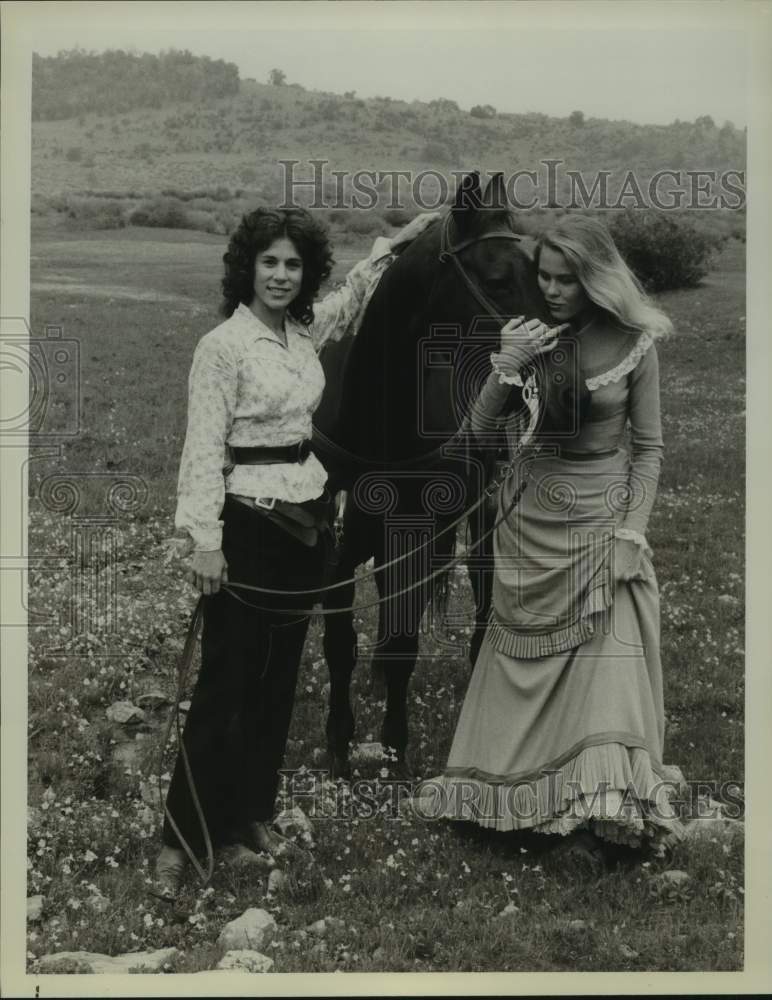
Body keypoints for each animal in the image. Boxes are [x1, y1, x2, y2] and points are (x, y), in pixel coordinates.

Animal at [314, 172, 548, 780]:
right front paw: (339, 738)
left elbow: (403, 641)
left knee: (482, 597)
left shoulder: (416, 535)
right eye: (498, 278)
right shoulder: (338, 547)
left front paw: (394, 744)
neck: (370, 419)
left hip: (479, 519)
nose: (562, 359)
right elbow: (340, 641)